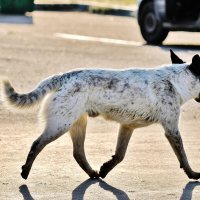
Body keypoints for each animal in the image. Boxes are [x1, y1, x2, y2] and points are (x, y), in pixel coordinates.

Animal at [1, 49, 200, 180]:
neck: (177, 81)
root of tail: (63, 77)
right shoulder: (171, 130)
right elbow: (183, 156)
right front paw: (193, 174)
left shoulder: (127, 127)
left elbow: (119, 155)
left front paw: (105, 169)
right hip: (59, 125)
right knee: (37, 144)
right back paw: (25, 171)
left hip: (77, 124)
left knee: (78, 153)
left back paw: (92, 173)